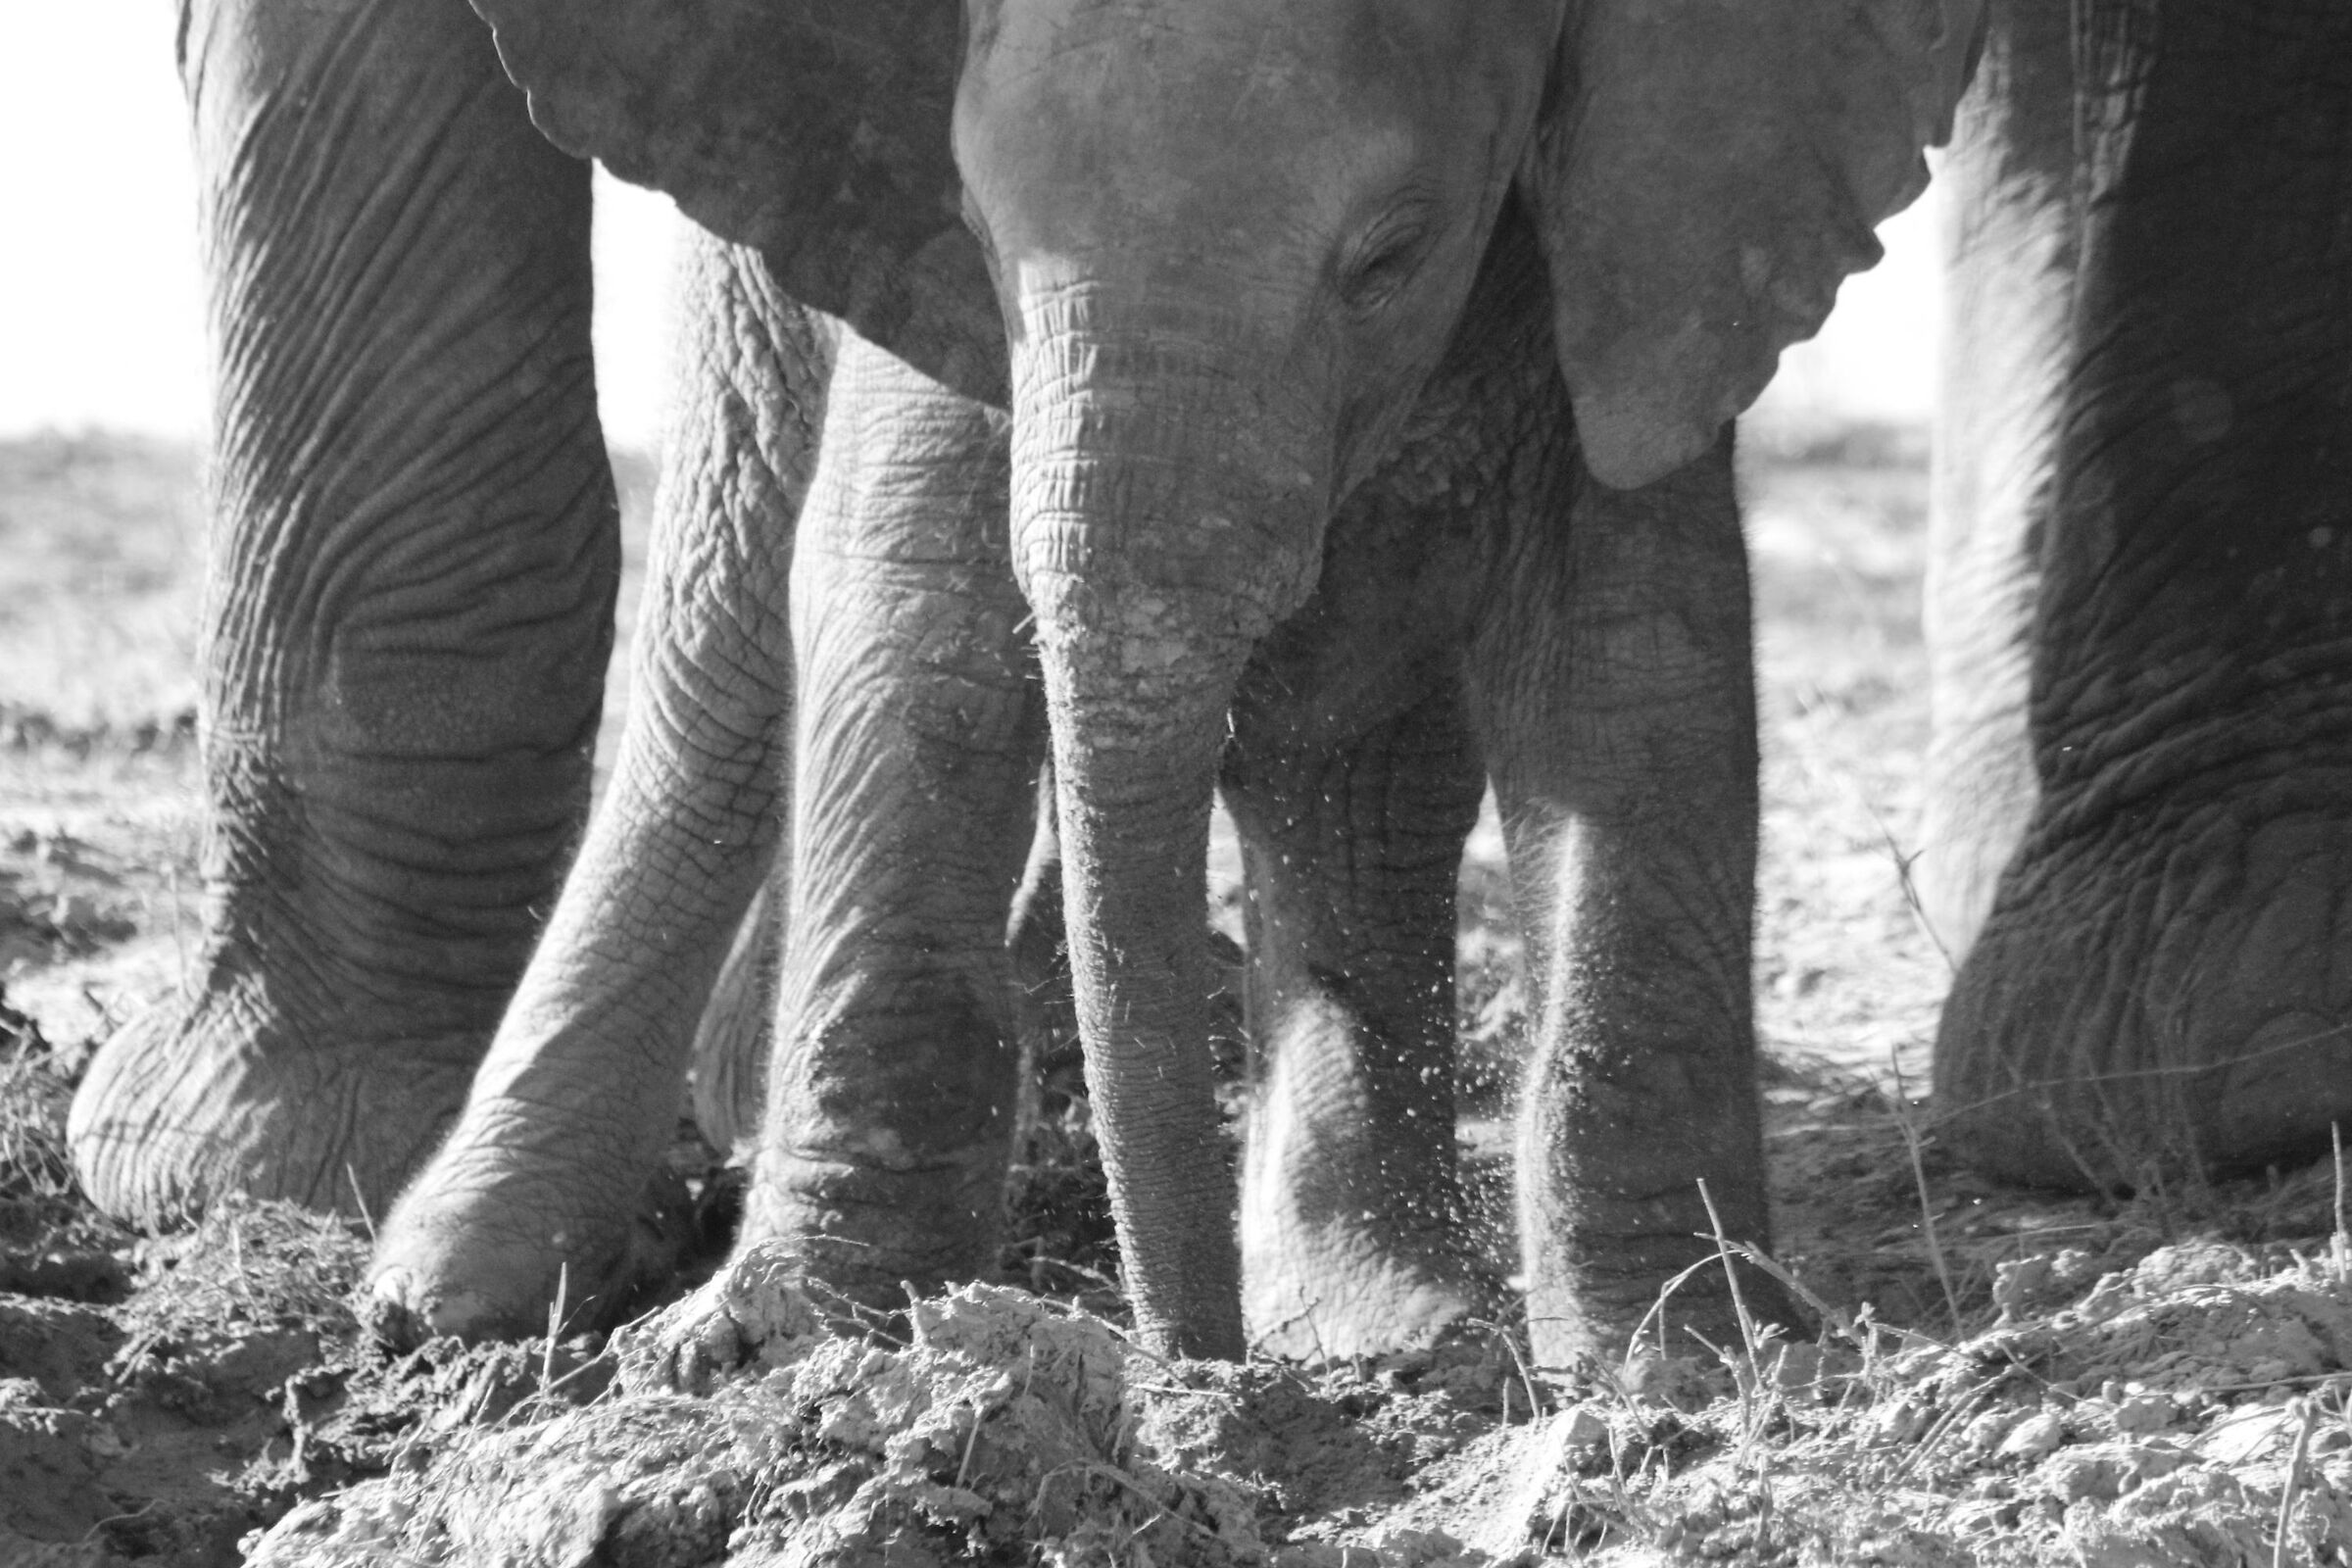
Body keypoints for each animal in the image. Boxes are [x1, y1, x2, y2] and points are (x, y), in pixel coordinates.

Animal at [69, 0, 1981, 1366]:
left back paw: (1380, 1318)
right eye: (983, 231)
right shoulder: (919, 259)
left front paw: (1693, 1360)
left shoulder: (1639, 239)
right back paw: (453, 1294)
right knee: (729, 638)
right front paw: (774, 1350)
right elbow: (901, 614)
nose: (1195, 1373)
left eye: (1391, 254)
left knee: (1358, 758)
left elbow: (1636, 675)